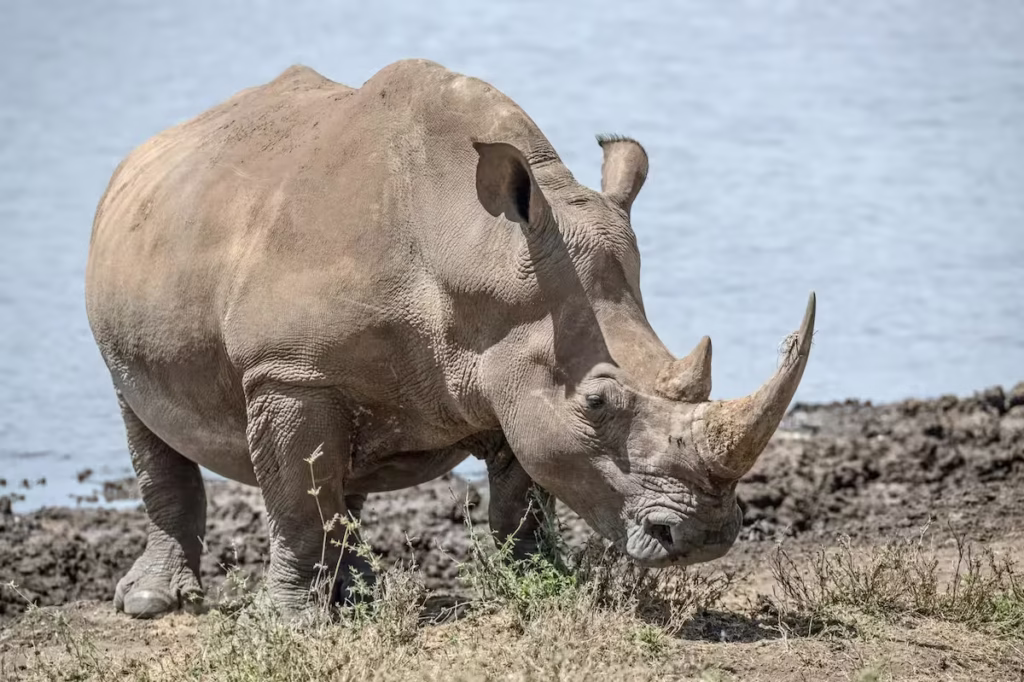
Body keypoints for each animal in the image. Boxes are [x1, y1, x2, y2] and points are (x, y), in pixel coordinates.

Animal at [85, 59, 815, 618]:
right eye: (597, 403)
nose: (706, 536)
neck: (472, 247)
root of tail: (141, 154)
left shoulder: (515, 359)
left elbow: (524, 494)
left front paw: (541, 583)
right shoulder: (287, 371)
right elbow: (296, 499)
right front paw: (284, 622)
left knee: (344, 466)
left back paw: (359, 597)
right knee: (144, 420)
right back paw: (153, 605)